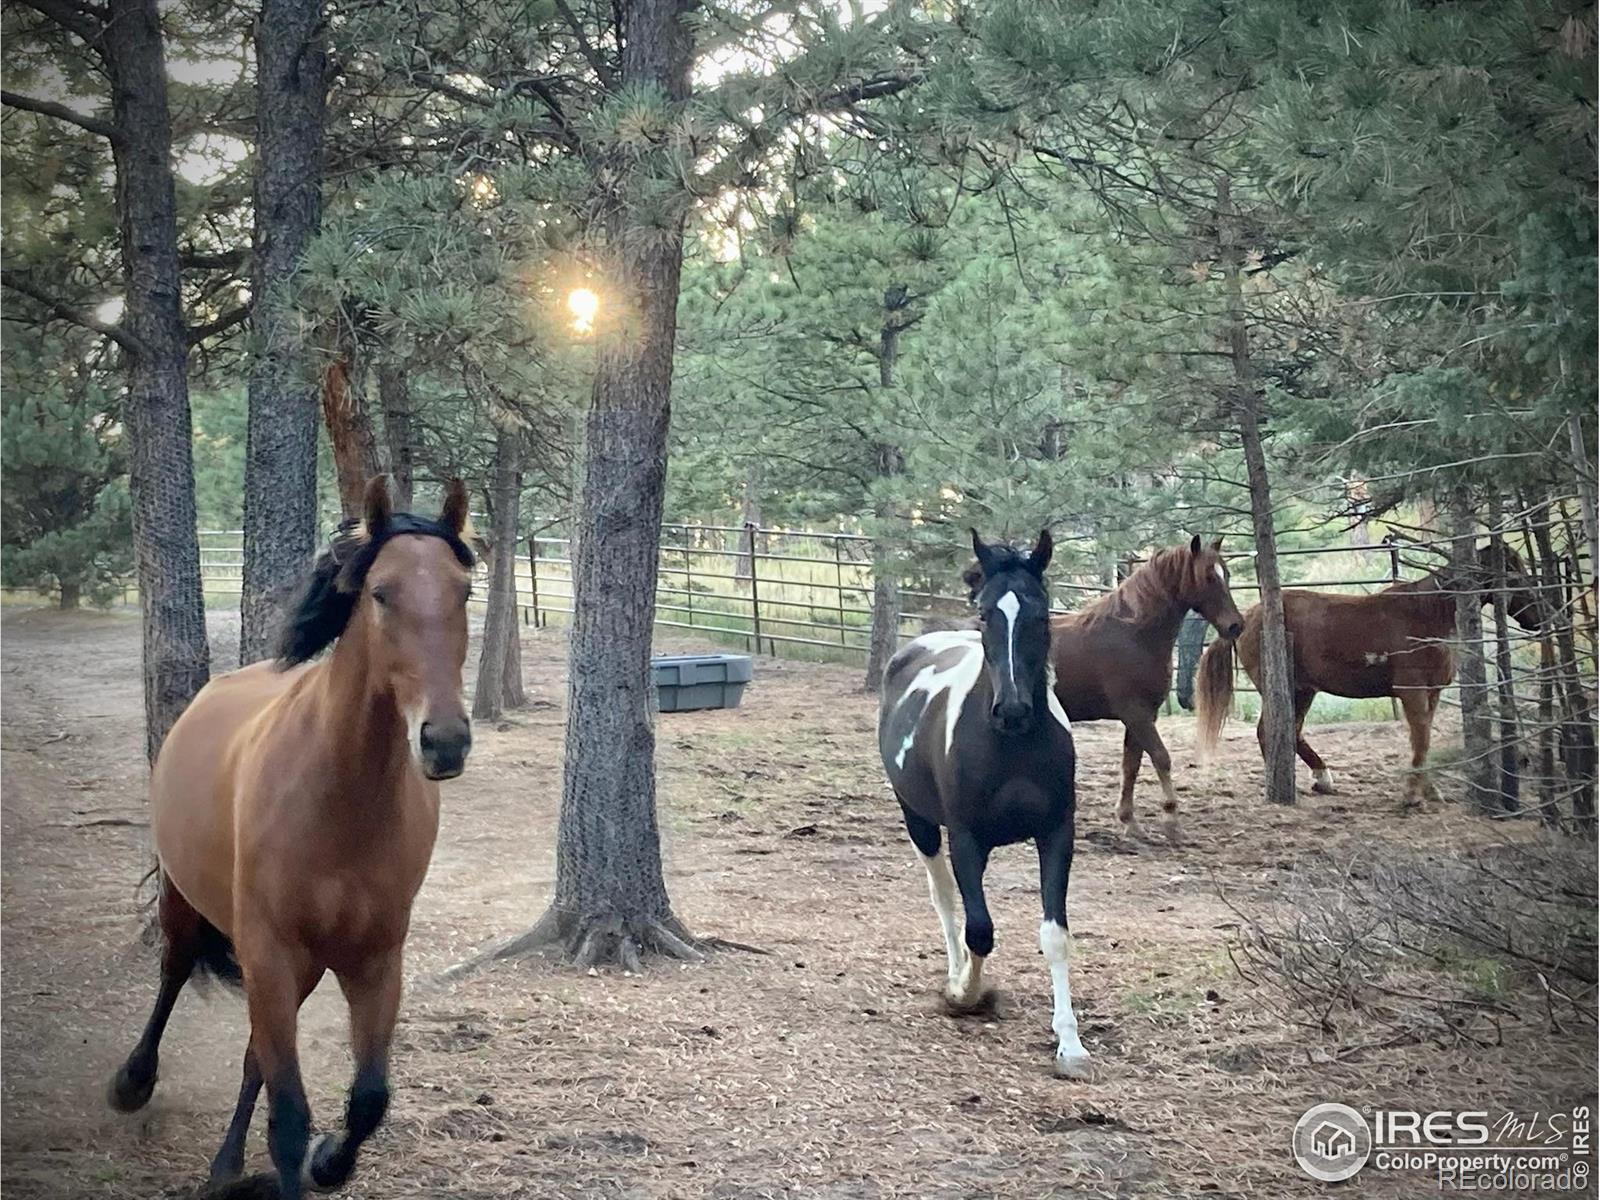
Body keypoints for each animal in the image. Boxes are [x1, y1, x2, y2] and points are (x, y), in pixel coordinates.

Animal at [108, 480, 473, 1200]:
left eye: (464, 592)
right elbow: (290, 1116)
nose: (444, 740)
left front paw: (329, 1160)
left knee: (256, 1056)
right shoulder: (269, 950)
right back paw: (134, 1083)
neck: (340, 804)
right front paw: (301, 1161)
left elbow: (367, 1099)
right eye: (381, 592)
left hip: (297, 968)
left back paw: (226, 1166)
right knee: (173, 973)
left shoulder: (373, 961)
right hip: (191, 908)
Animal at [883, 534, 1094, 1081]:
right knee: (944, 899)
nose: (1013, 711)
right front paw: (965, 994)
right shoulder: (965, 838)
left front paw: (1070, 1044)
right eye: (985, 614)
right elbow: (979, 929)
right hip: (919, 823)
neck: (1011, 748)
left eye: (1041, 612)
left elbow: (1055, 935)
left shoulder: (1056, 834)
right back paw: (956, 974)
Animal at [1043, 537, 1254, 844]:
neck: (1134, 634)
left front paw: (1129, 822)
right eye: (1207, 576)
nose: (1235, 625)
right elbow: (1161, 758)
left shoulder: (1143, 716)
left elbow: (1131, 765)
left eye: (1225, 574)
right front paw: (1171, 821)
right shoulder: (1136, 713)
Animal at [1196, 544, 1542, 809]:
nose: (1538, 620)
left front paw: (1430, 792)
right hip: (1284, 688)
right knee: (1269, 731)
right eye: (1516, 573)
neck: (1427, 615)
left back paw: (1321, 780)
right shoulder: (1412, 692)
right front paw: (1412, 796)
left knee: (1290, 732)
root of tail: (1248, 617)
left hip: (1304, 690)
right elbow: (1421, 740)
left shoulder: (1432, 693)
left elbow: (1425, 740)